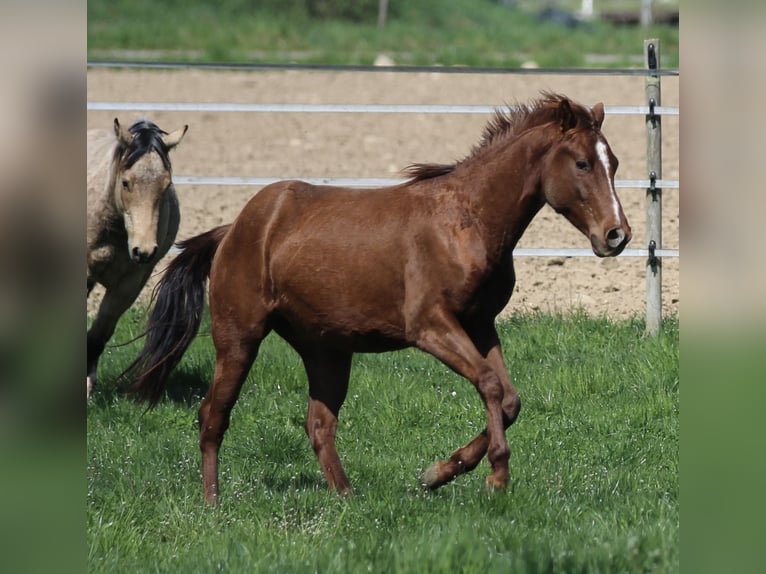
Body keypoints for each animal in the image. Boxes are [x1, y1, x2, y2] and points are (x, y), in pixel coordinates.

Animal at [127, 93, 631, 504]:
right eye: (582, 164)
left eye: (615, 163)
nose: (617, 235)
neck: (467, 219)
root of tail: (233, 230)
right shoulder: (431, 326)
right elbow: (489, 385)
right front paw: (494, 477)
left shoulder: (480, 324)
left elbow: (509, 400)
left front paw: (440, 472)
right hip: (238, 338)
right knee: (213, 415)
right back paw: (212, 503)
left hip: (326, 351)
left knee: (318, 424)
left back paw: (347, 496)